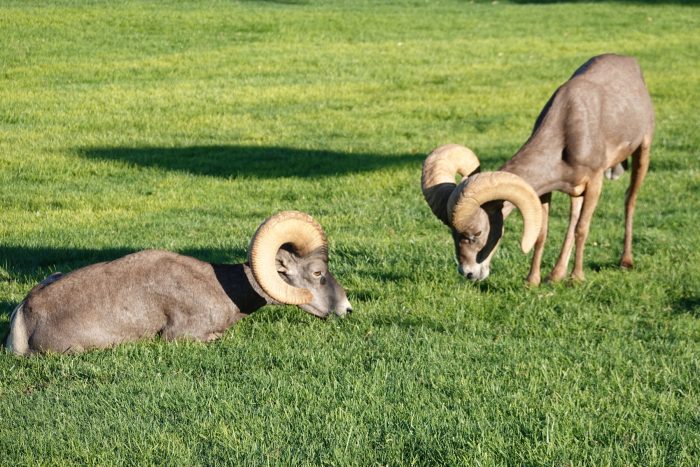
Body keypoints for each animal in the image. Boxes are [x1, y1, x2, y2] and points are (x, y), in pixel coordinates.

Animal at [422, 53, 656, 284]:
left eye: (477, 233)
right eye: (452, 233)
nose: (468, 273)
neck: (567, 132)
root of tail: (632, 63)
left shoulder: (594, 182)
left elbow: (582, 228)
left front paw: (576, 278)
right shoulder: (545, 193)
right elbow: (542, 234)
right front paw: (532, 281)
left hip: (642, 151)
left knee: (629, 200)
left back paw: (625, 261)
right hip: (576, 192)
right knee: (573, 217)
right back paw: (555, 275)